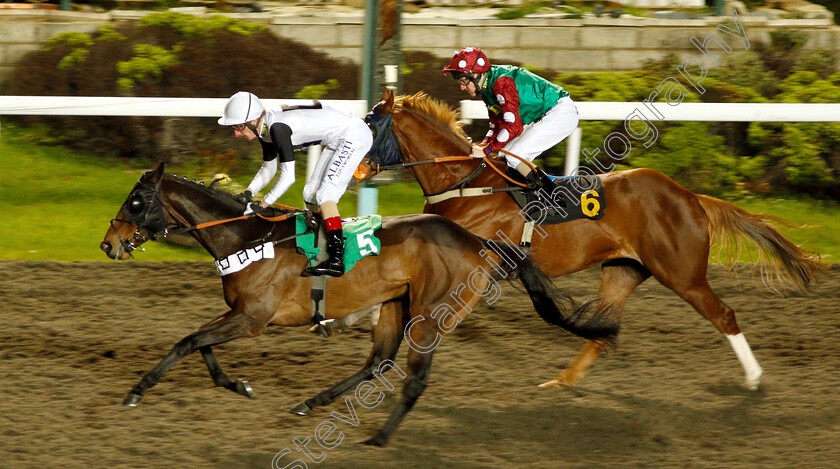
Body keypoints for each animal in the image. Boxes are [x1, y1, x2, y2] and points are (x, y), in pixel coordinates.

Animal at [101, 161, 620, 446]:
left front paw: (137, 390)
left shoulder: (252, 318)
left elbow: (187, 342)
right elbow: (201, 344)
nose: (108, 244)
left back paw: (380, 436)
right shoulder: (242, 315)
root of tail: (478, 242)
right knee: (379, 362)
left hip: (431, 314)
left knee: (413, 379)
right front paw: (238, 385)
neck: (246, 239)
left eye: (135, 201)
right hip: (394, 303)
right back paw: (311, 402)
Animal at [364, 89, 824, 390]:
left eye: (370, 125)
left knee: (724, 315)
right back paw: (559, 384)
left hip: (682, 273)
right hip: (624, 269)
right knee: (604, 332)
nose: (360, 168)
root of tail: (691, 197)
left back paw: (754, 379)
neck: (465, 184)